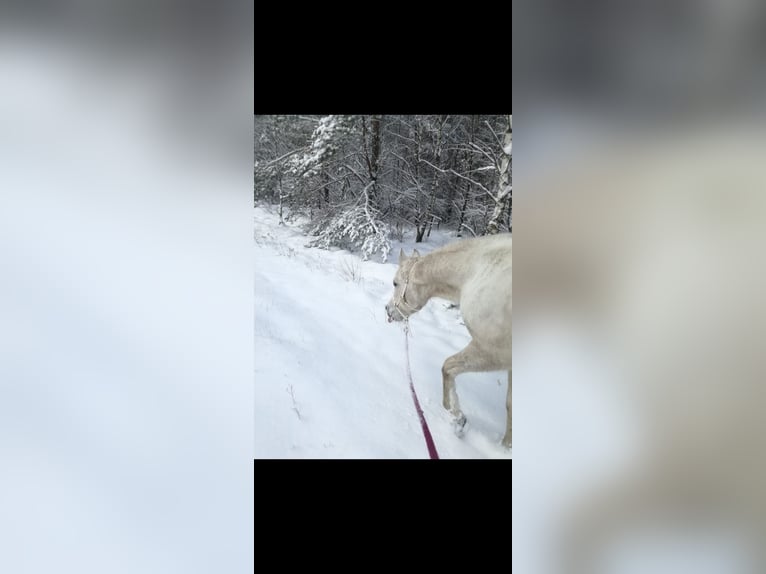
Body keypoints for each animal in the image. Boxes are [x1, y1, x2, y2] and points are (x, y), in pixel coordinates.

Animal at [384, 235, 516, 450]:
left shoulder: (491, 352)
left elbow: (447, 368)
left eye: (395, 283)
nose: (388, 310)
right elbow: (510, 404)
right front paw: (506, 447)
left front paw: (457, 418)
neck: (474, 272)